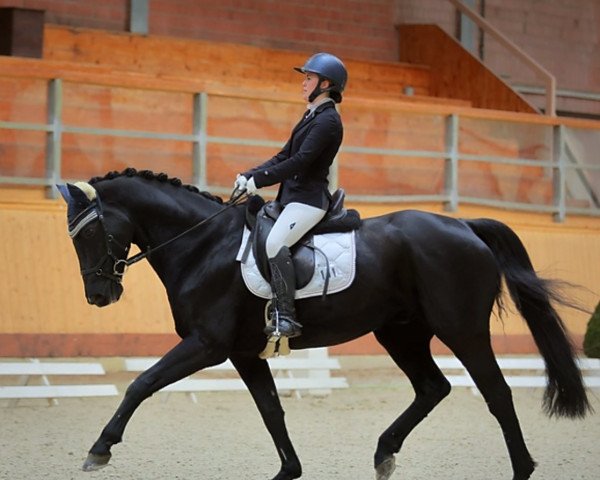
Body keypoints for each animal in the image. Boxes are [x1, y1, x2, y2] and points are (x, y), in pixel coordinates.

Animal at [58, 169, 588, 480]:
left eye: (88, 232)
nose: (99, 296)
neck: (203, 244)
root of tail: (464, 225)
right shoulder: (243, 352)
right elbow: (271, 411)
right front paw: (288, 471)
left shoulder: (206, 344)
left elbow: (141, 383)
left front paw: (100, 449)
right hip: (400, 331)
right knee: (433, 387)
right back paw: (384, 452)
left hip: (461, 329)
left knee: (496, 392)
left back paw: (521, 469)